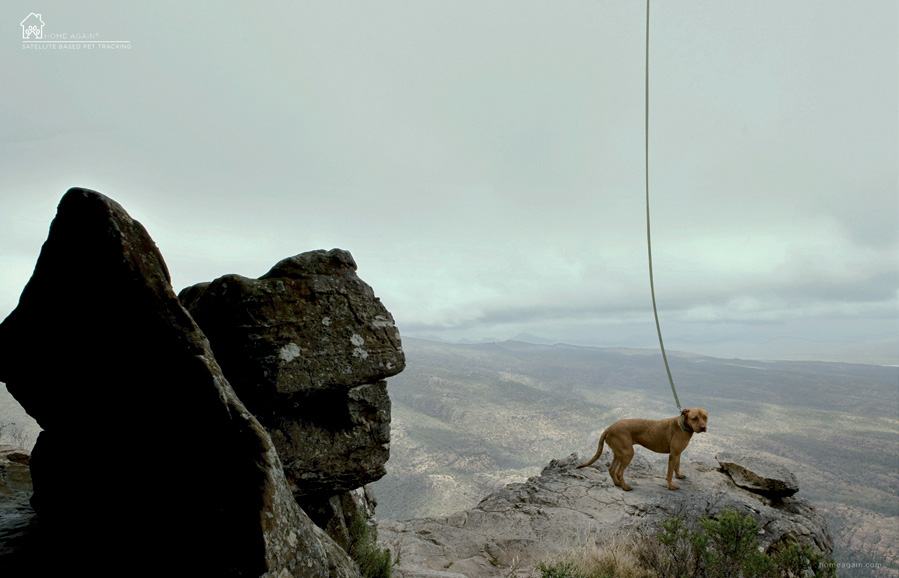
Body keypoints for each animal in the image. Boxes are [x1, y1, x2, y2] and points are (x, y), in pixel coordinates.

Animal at [576, 404, 712, 490]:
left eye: (705, 417)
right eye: (694, 418)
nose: (703, 427)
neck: (683, 425)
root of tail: (609, 428)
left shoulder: (678, 454)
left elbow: (676, 467)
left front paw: (678, 476)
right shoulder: (673, 455)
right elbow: (669, 473)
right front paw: (670, 486)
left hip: (619, 453)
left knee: (611, 469)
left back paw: (618, 484)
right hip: (628, 453)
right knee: (619, 472)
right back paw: (625, 487)